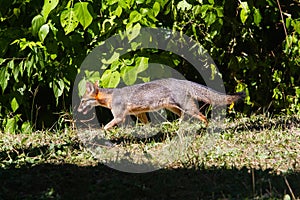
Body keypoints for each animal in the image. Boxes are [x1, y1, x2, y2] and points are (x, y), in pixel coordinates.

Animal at [77, 78, 244, 130]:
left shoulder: (119, 117)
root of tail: (181, 80)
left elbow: (105, 126)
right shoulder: (140, 113)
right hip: (175, 108)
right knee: (184, 117)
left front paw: (101, 132)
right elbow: (147, 125)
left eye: (82, 101)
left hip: (189, 109)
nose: (77, 109)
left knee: (204, 117)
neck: (110, 96)